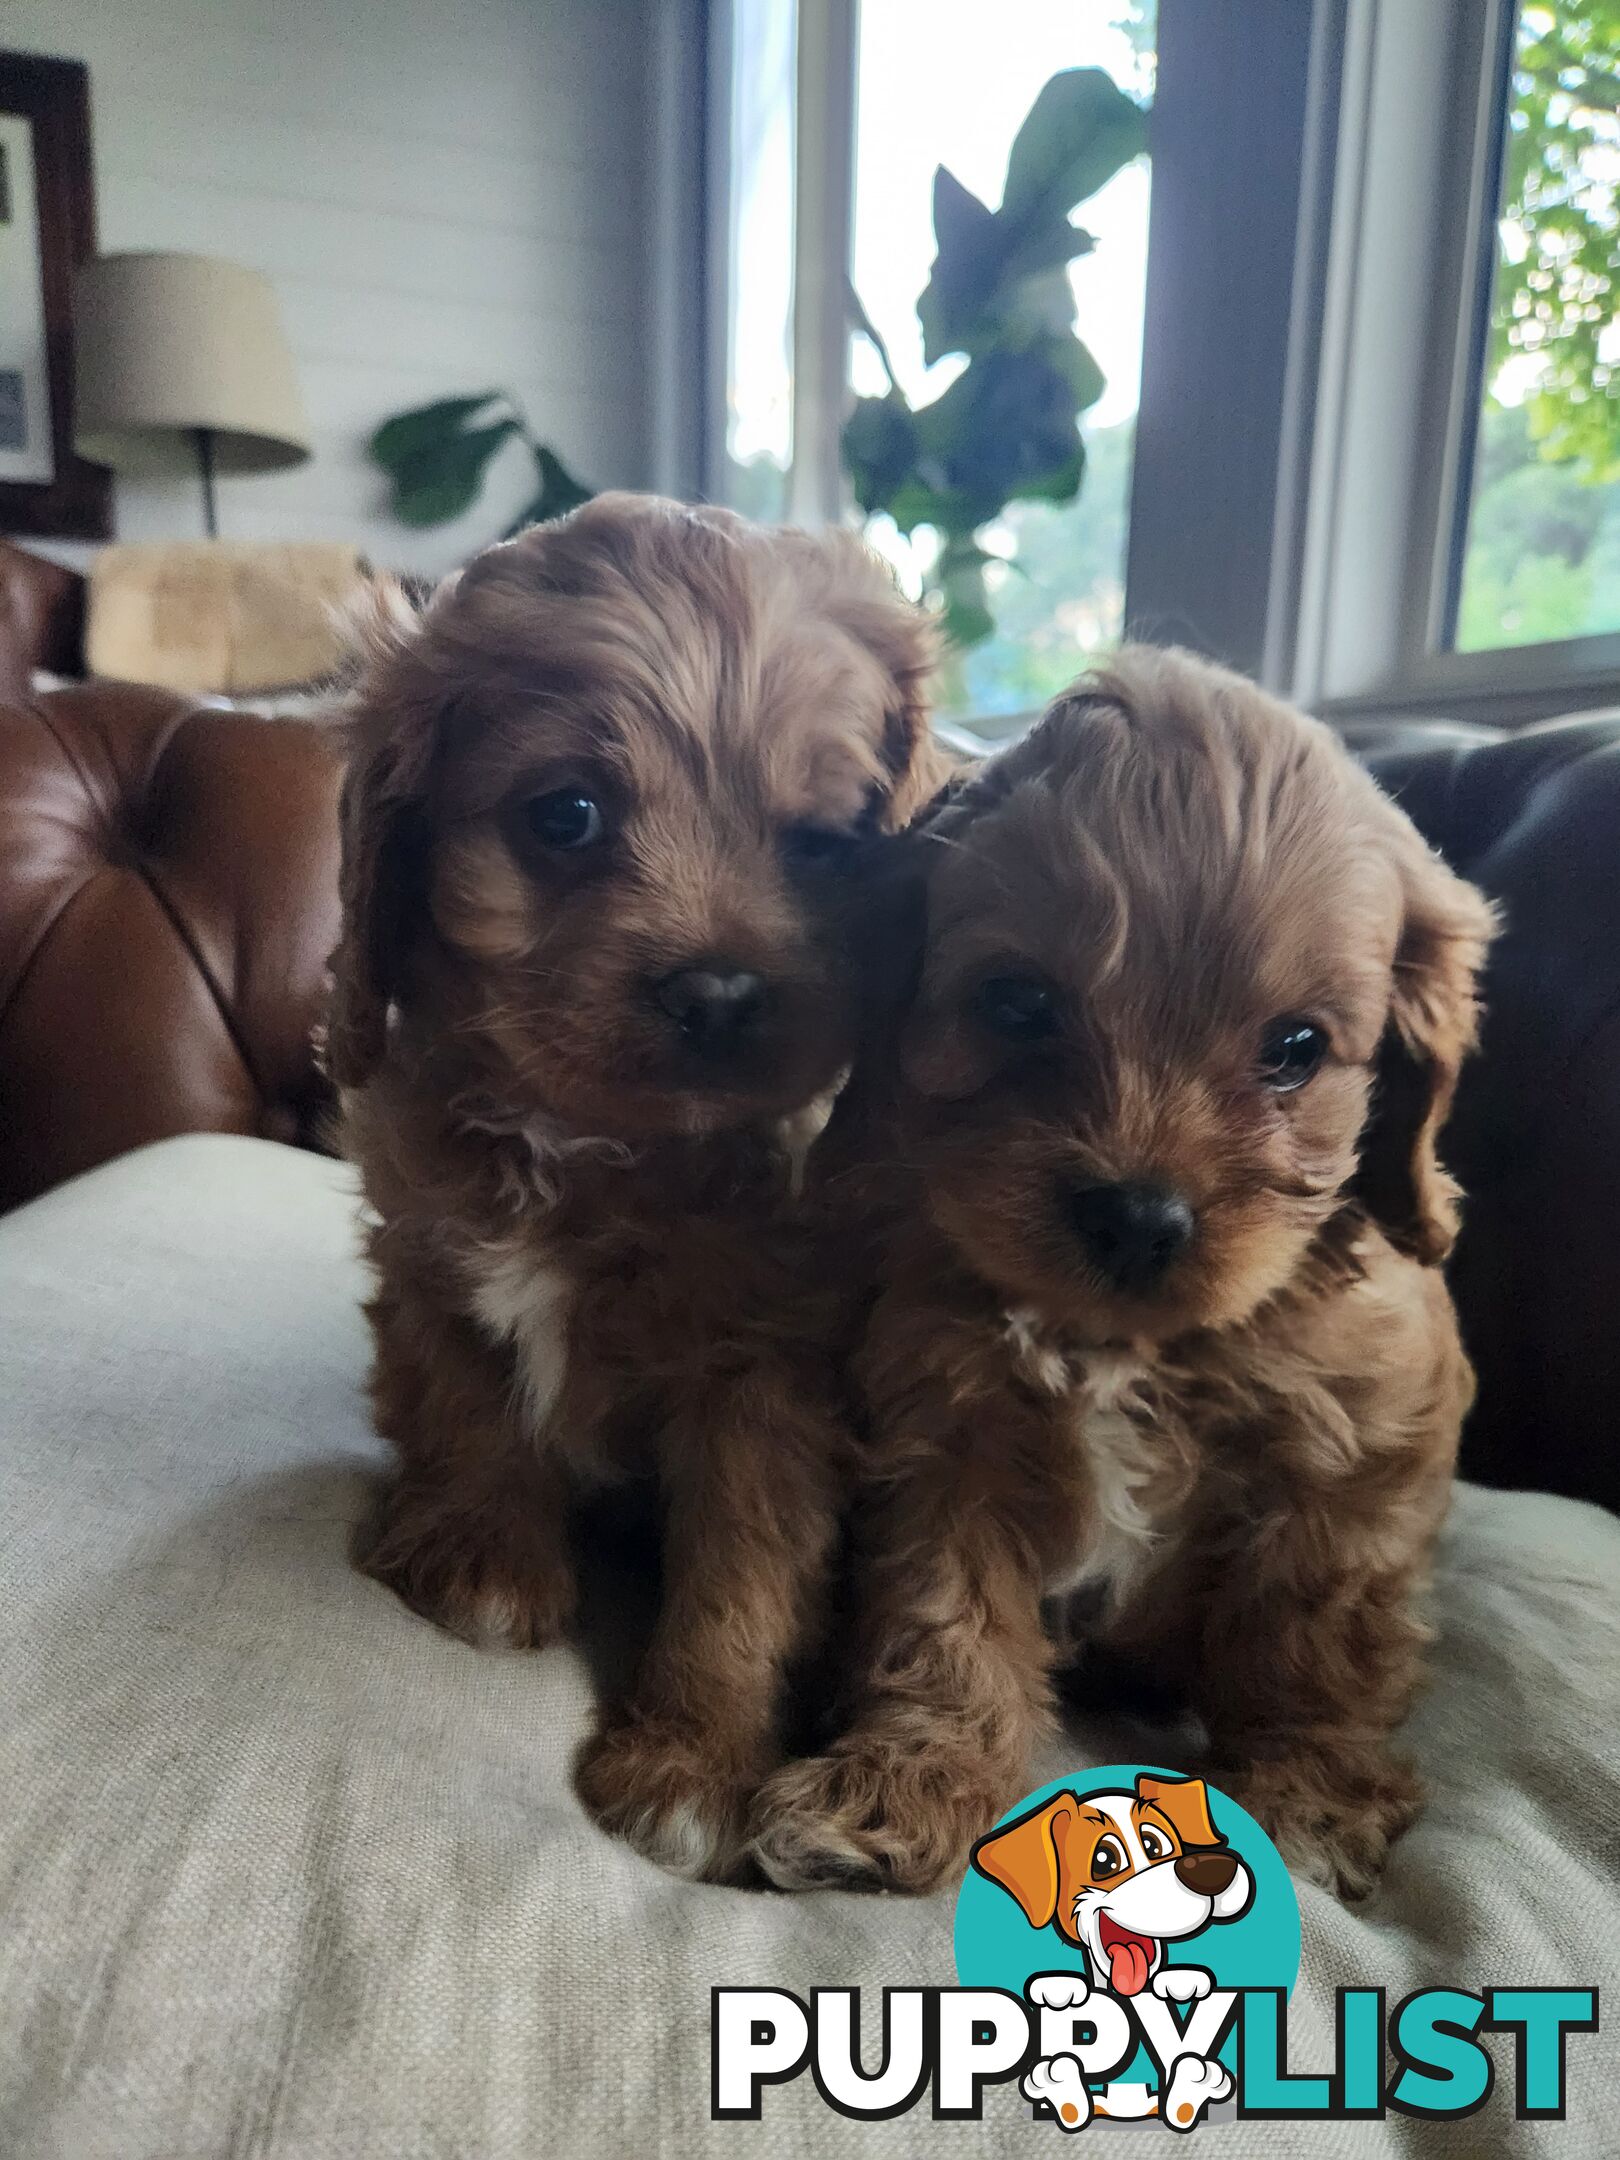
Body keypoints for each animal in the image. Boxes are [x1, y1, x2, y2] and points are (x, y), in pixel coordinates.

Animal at [330, 490, 937, 1874]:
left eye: (826, 846)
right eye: (567, 816)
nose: (717, 992)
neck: (594, 1149)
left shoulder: (764, 1379)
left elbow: (740, 1575)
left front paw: (694, 1765)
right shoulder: (426, 1253)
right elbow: (466, 1402)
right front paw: (483, 1557)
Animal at [751, 648, 1494, 1900]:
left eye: (1296, 1049)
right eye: (1017, 1004)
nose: (1139, 1216)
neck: (1124, 1344)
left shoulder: (1352, 1460)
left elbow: (1318, 1639)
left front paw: (1307, 1796)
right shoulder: (950, 1444)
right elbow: (943, 1623)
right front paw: (902, 1786)